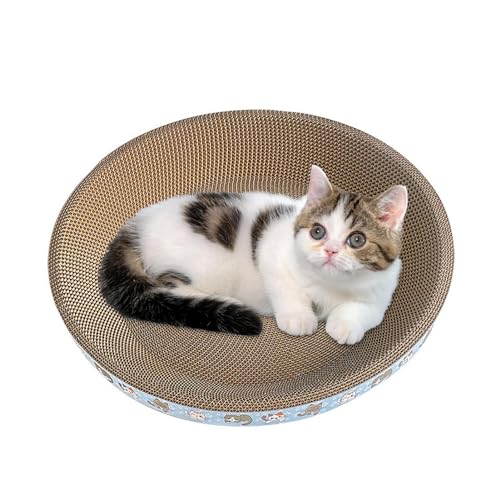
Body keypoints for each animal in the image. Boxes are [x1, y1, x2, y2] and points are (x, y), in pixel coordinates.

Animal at [99, 165, 407, 344]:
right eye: (317, 232)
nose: (330, 251)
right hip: (200, 265)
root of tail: (136, 224)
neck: (329, 284)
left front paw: (344, 325)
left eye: (357, 239)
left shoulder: (384, 288)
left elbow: (367, 311)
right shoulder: (270, 247)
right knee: (169, 287)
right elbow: (286, 286)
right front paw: (299, 318)